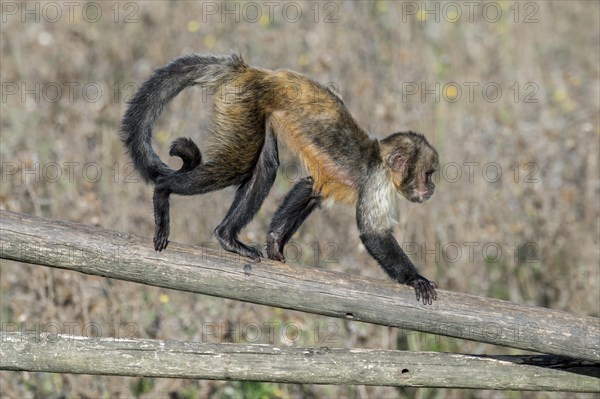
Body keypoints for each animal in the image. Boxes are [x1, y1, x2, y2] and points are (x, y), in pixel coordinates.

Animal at [122, 52, 440, 304]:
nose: (432, 187)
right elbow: (373, 233)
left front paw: (274, 244)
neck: (380, 160)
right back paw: (163, 192)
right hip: (244, 102)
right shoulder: (378, 181)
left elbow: (310, 187)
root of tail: (256, 72)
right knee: (239, 165)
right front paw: (415, 278)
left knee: (265, 166)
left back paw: (227, 236)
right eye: (427, 174)